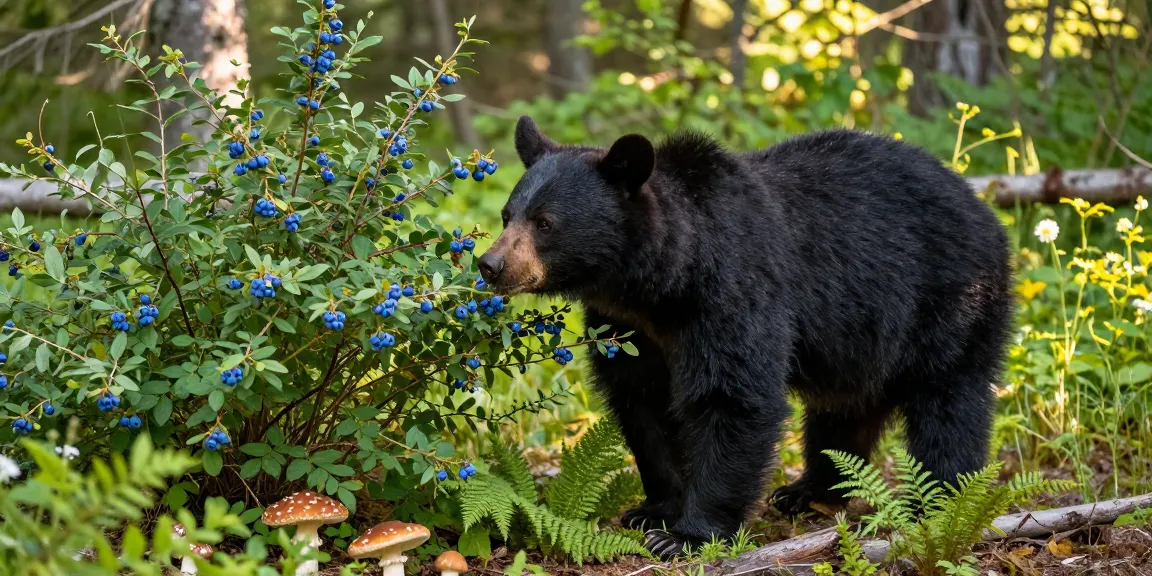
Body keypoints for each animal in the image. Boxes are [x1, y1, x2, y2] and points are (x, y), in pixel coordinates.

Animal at [477, 116, 1014, 558]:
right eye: (507, 214)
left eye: (545, 222)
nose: (490, 264)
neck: (659, 284)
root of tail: (981, 205)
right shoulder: (630, 330)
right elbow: (643, 404)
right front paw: (655, 509)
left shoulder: (732, 292)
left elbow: (732, 397)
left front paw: (687, 535)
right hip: (863, 337)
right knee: (844, 410)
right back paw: (808, 490)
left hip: (947, 297)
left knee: (948, 401)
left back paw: (940, 499)